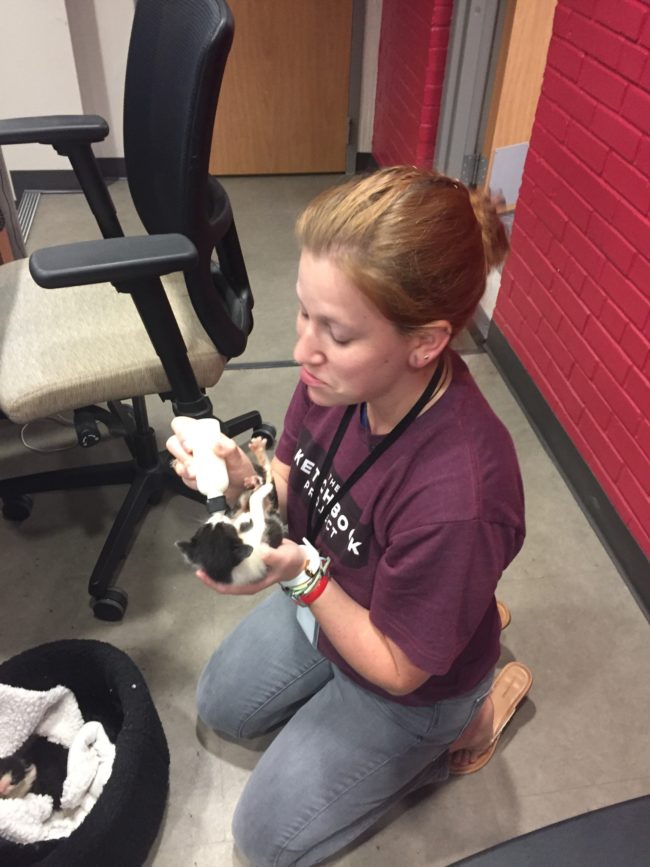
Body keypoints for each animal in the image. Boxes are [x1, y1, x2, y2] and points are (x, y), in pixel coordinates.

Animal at [175, 438, 284, 588]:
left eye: (204, 527)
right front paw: (262, 489)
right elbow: (255, 503)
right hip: (271, 506)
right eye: (225, 527)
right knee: (269, 481)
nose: (218, 517)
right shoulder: (259, 532)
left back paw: (254, 476)